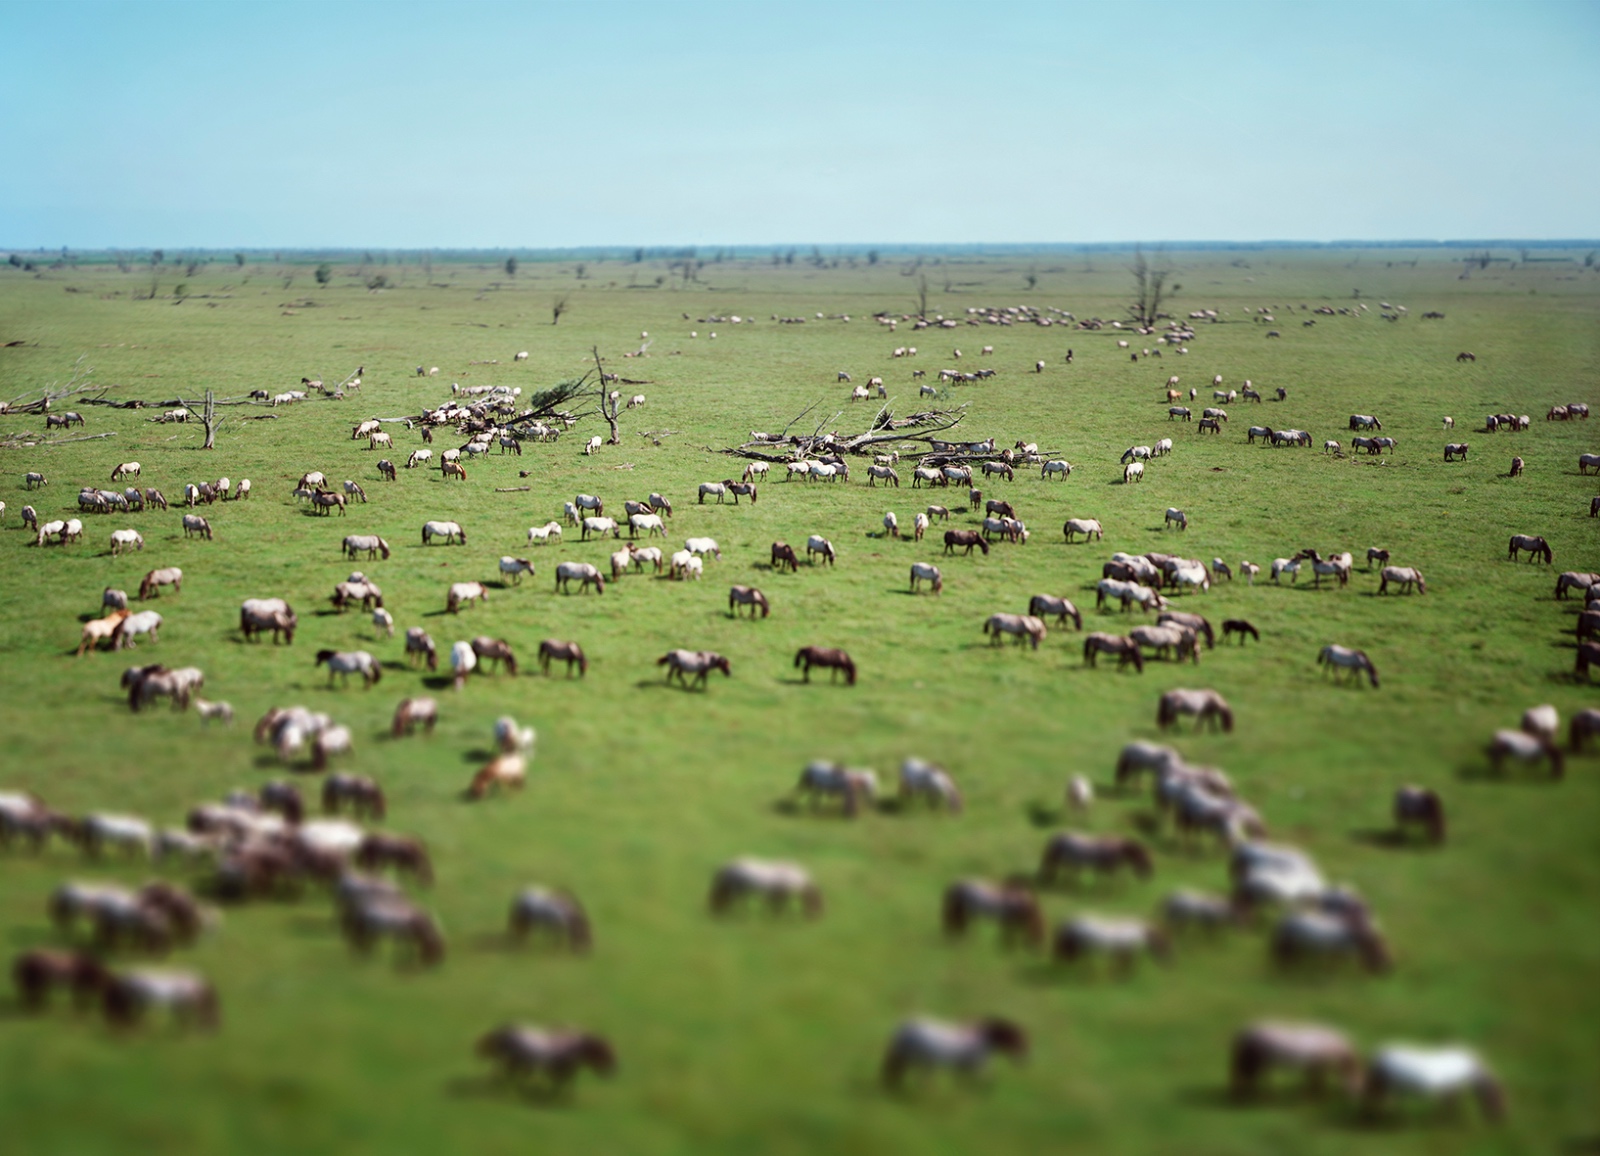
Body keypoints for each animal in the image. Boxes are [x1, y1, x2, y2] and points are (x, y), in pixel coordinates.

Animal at [881, 1017, 1027, 1088]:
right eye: (1019, 1043)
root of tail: (905, 1028)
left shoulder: (963, 1069)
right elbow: (986, 1078)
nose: (1025, 1061)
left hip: (910, 1058)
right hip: (914, 1059)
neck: (984, 1040)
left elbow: (961, 1082)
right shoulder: (977, 1067)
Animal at [1231, 1023, 1361, 1100]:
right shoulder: (1319, 1067)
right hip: (1257, 1061)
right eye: (1360, 1082)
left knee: (1250, 1077)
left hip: (1255, 1062)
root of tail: (1245, 1033)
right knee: (1249, 1077)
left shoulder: (1314, 1068)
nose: (1356, 1099)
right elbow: (1318, 1084)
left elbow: (1313, 1083)